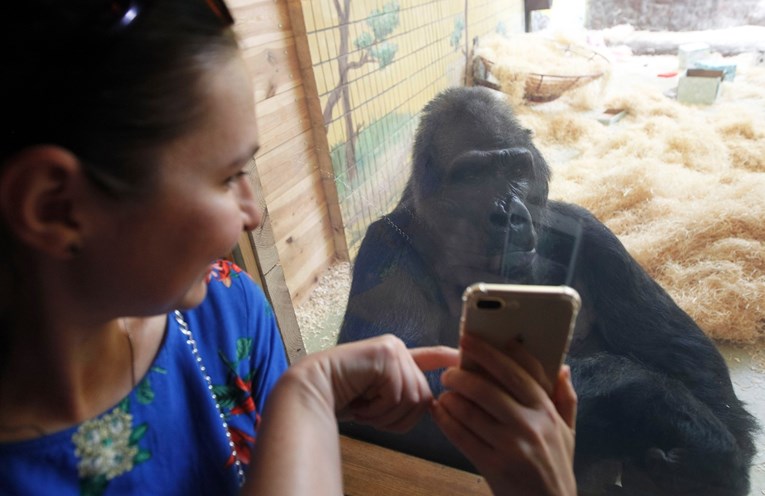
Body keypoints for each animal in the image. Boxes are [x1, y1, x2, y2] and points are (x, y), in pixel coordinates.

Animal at [338, 87, 756, 494]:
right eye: (471, 176)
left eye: (516, 169)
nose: (509, 214)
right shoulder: (385, 249)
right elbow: (390, 390)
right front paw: (659, 406)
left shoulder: (590, 231)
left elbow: (683, 357)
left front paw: (715, 454)